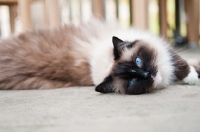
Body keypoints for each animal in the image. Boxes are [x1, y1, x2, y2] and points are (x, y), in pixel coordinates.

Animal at [0, 19, 199, 94]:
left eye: (138, 61)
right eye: (132, 81)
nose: (148, 75)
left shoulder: (162, 48)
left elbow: (182, 63)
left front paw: (193, 76)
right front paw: (194, 78)